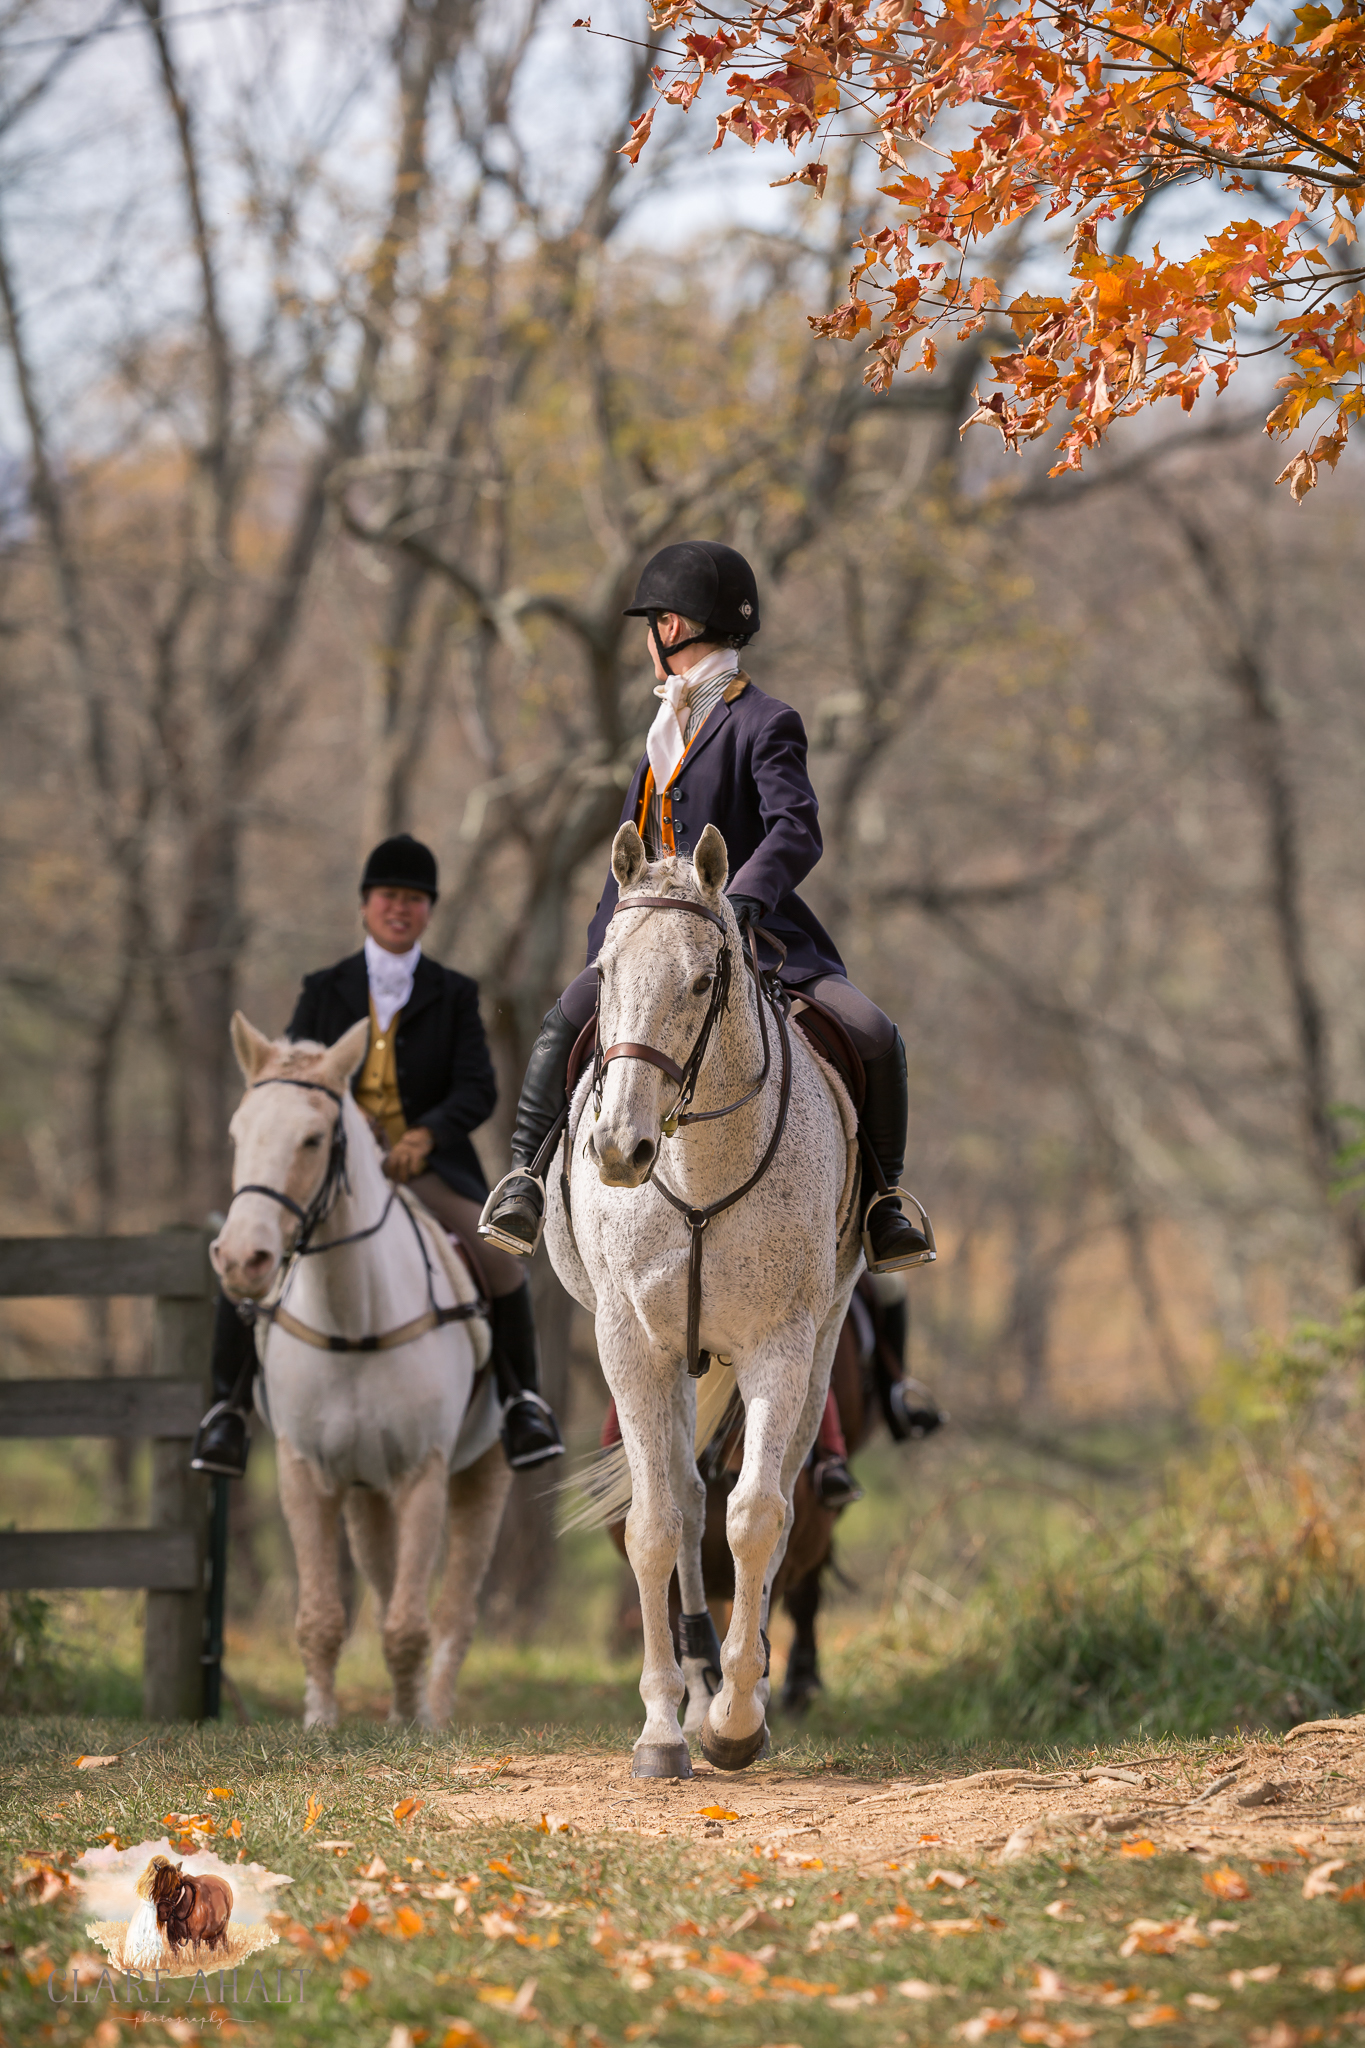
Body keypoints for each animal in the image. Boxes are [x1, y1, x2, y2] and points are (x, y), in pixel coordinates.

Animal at [213, 1015, 511, 1720]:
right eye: (238, 1132)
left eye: (313, 1138)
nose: (241, 1259)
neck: (354, 1322)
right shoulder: (305, 1471)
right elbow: (322, 1617)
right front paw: (321, 1721)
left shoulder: (424, 1472)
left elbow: (411, 1623)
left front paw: (413, 1722)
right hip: (364, 1492)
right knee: (383, 1586)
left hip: (483, 1474)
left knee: (454, 1611)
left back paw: (433, 1710)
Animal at [544, 823, 863, 1769]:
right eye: (607, 971)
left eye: (698, 980)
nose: (619, 1150)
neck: (696, 1169)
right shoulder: (631, 1345)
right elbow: (653, 1525)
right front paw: (662, 1726)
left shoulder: (780, 1346)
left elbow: (755, 1516)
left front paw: (735, 1721)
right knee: (686, 1503)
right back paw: (690, 1689)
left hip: (818, 1349)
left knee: (780, 1505)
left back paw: (731, 1687)